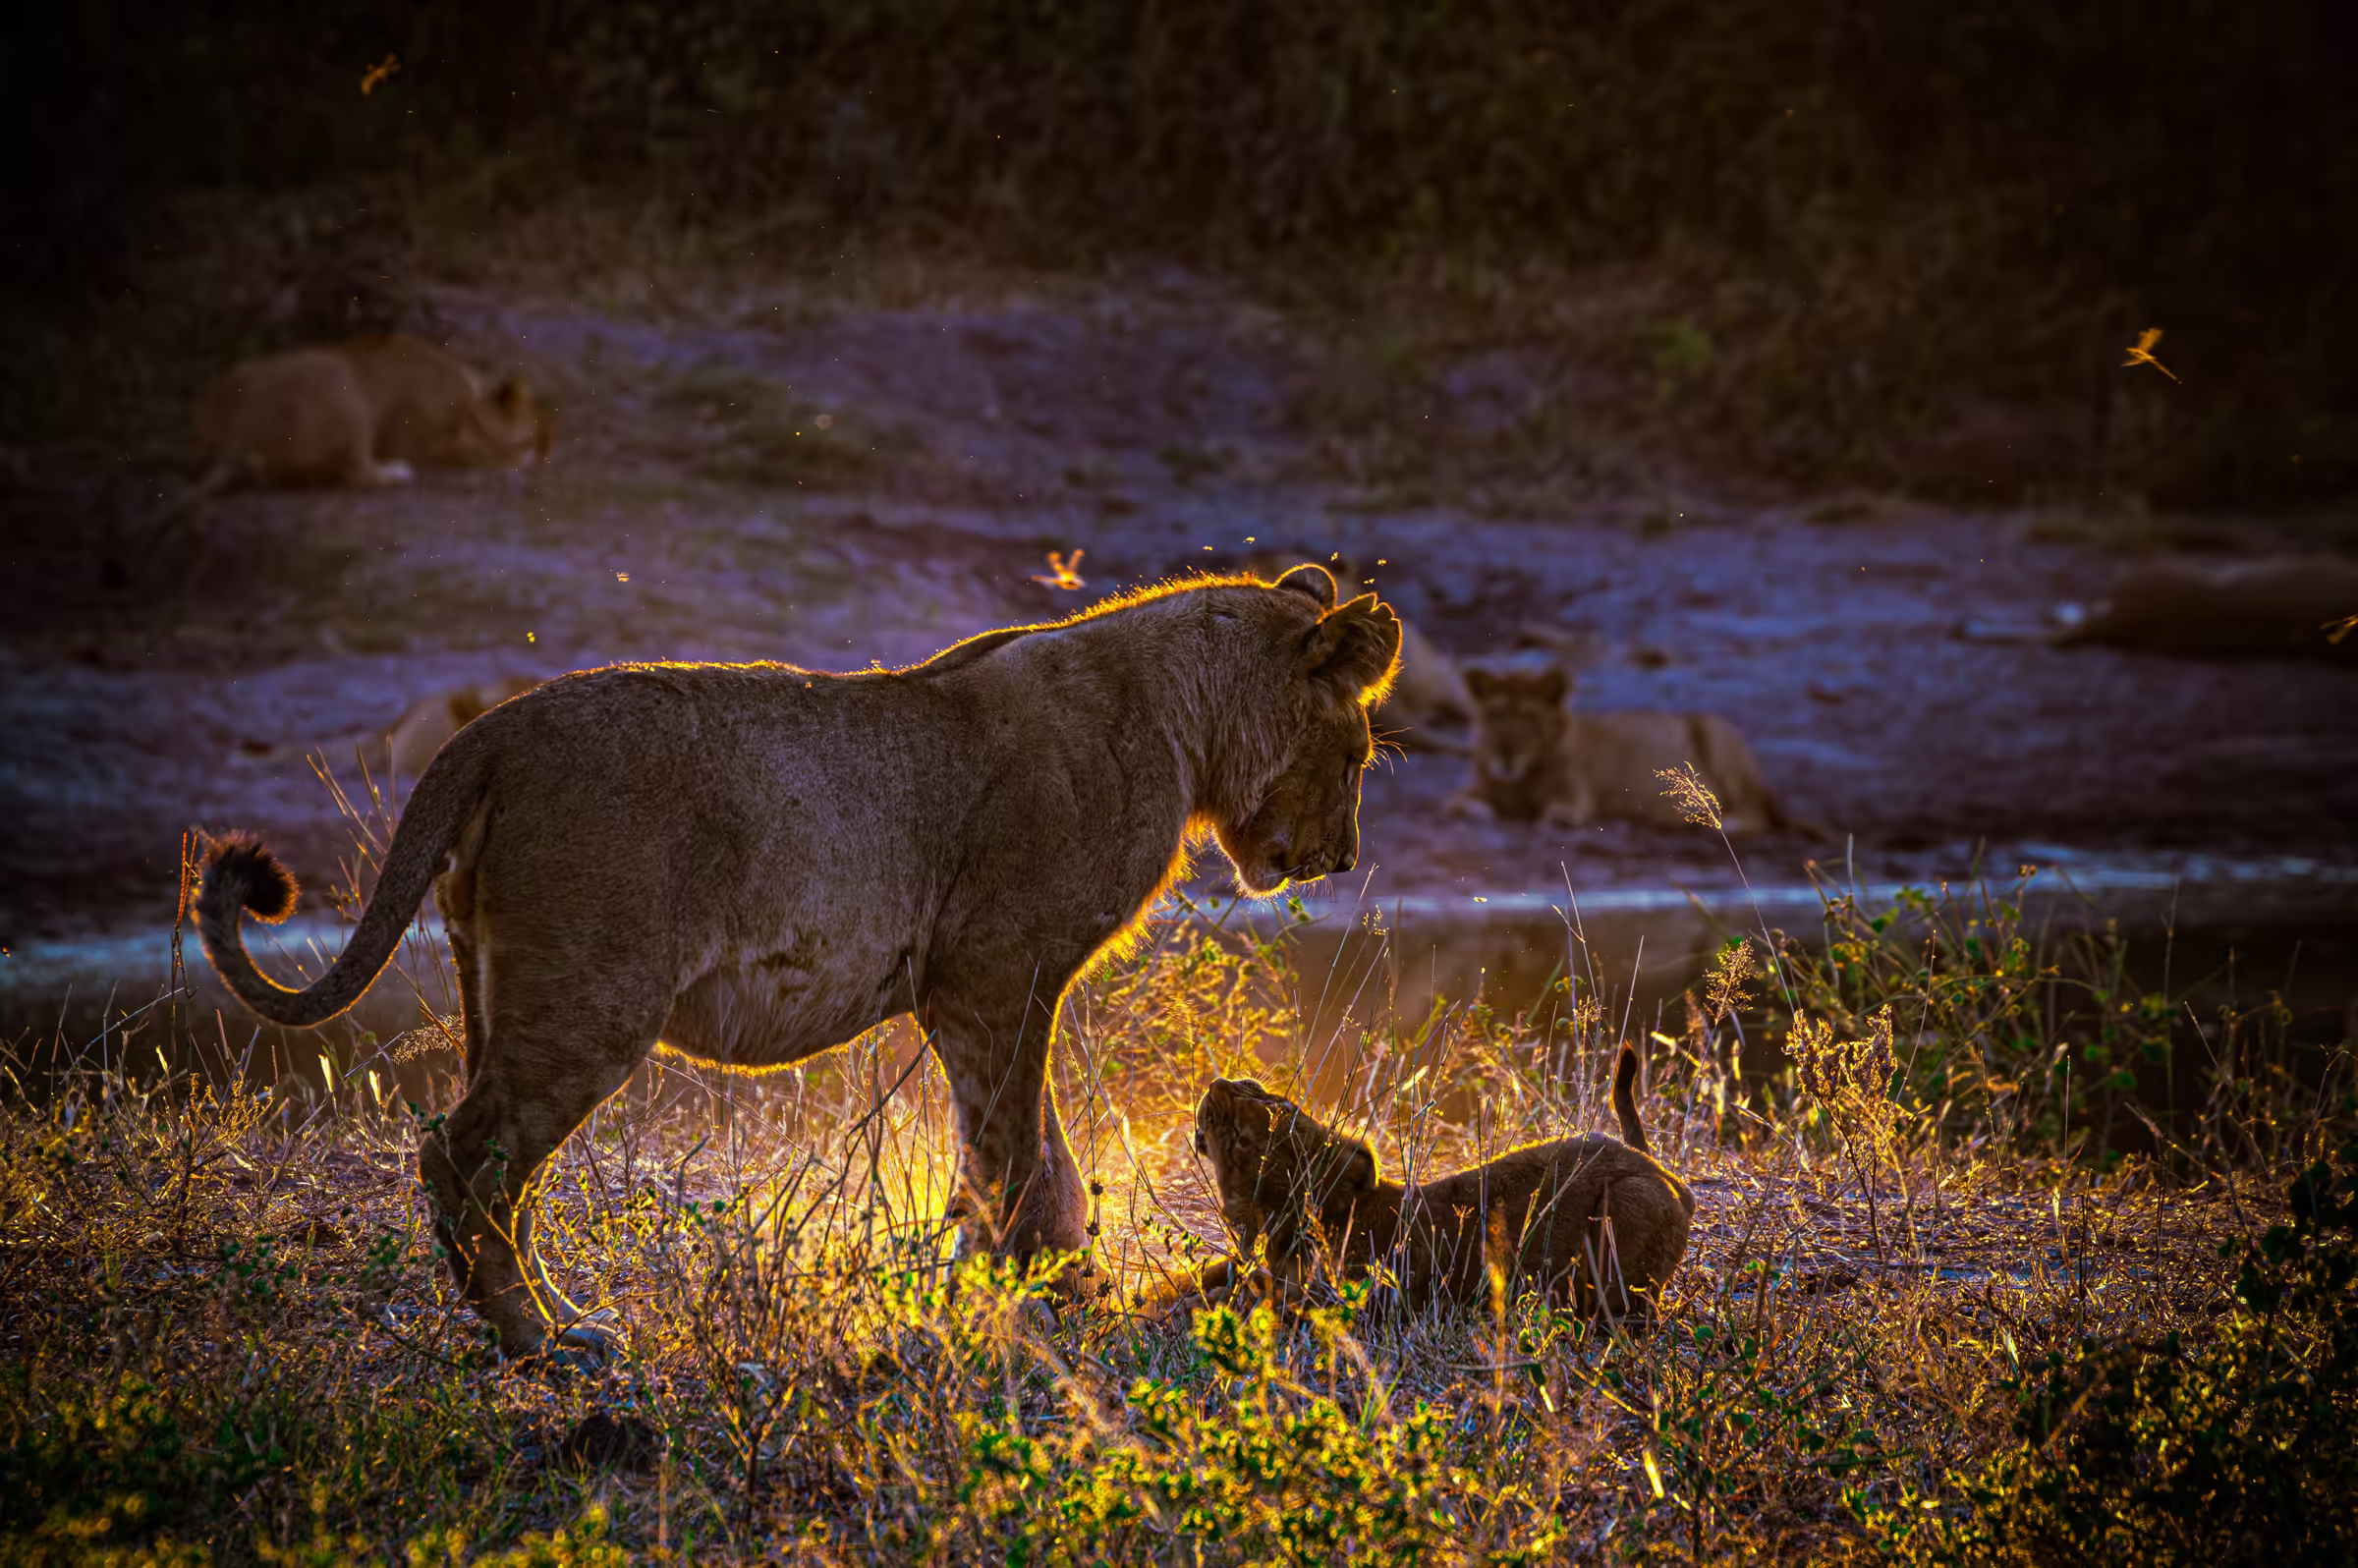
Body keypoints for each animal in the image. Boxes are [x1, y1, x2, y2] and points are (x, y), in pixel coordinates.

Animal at [185, 333, 549, 496]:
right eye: (538, 432)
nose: (547, 453)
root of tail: (233, 437)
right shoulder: (414, 439)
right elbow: (465, 452)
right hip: (341, 383)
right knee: (357, 474)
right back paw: (396, 472)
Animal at [193, 565, 1400, 1367]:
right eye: (1357, 753)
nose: (1341, 857)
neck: (1181, 715)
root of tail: (491, 730)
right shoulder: (990, 973)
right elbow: (1018, 1153)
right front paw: (1041, 1304)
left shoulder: (984, 990)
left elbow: (1034, 1152)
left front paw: (1054, 1296)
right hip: (589, 1000)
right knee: (467, 1158)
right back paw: (543, 1342)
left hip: (494, 986)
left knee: (490, 1173)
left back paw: (543, 1321)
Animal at [1447, 662, 1784, 833]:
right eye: (1496, 715)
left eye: (1529, 718)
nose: (1506, 755)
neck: (1519, 780)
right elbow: (1457, 803)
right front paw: (1476, 809)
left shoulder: (1578, 798)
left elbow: (1559, 810)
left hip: (1715, 729)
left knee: (1756, 813)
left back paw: (1717, 819)